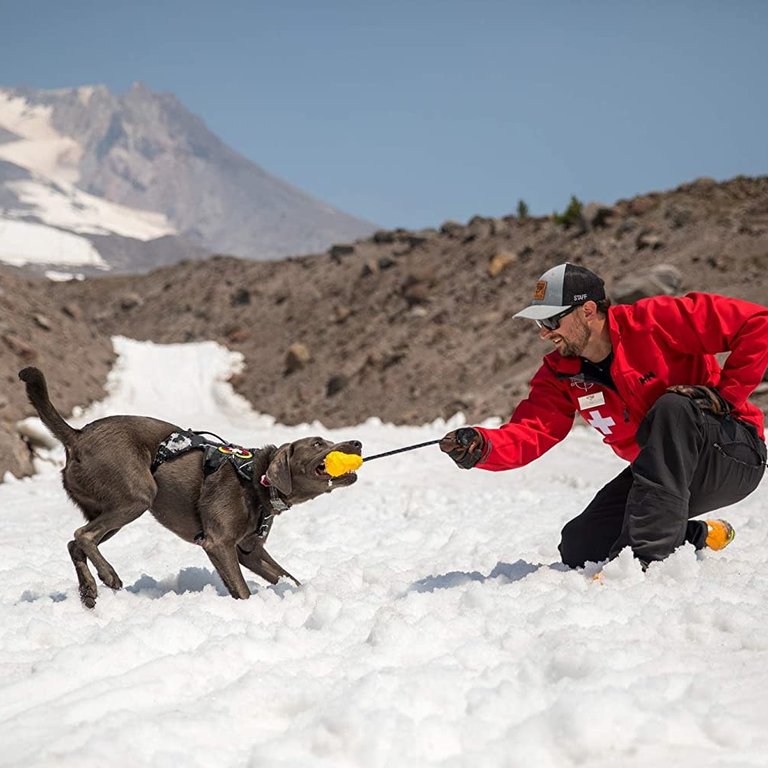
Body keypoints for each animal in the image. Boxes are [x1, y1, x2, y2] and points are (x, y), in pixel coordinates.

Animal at [19, 368, 362, 608]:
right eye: (318, 443)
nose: (357, 442)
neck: (256, 479)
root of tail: (77, 435)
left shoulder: (249, 551)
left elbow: (287, 577)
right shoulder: (218, 543)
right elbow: (242, 590)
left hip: (109, 507)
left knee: (73, 543)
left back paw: (88, 590)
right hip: (137, 496)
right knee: (83, 535)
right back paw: (108, 575)